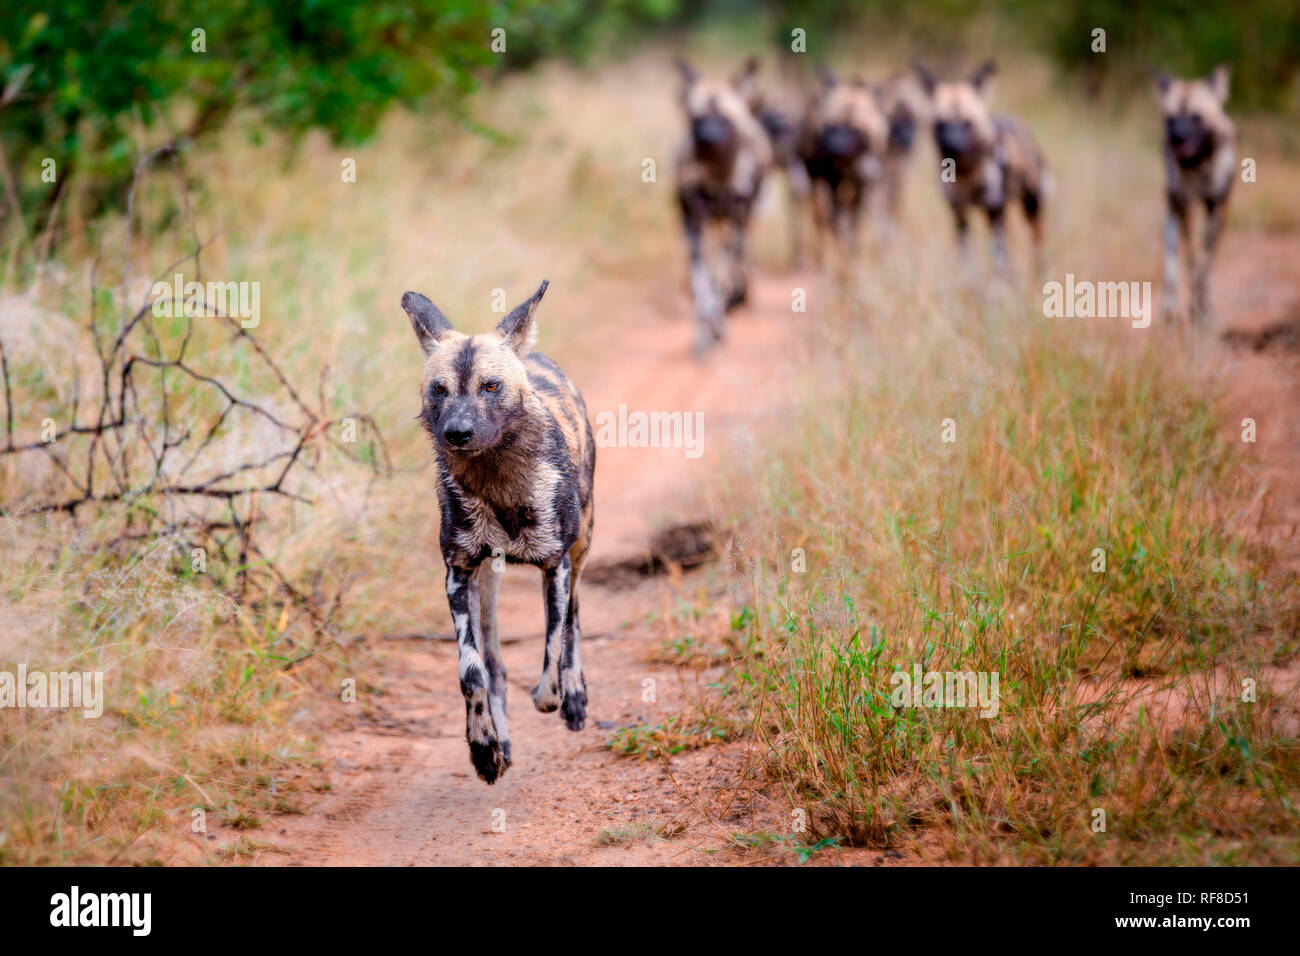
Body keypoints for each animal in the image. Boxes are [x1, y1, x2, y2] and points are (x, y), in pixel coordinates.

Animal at [670, 54, 769, 351]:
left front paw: (716, 325)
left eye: (725, 120)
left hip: (737, 222)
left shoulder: (732, 221)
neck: (715, 175)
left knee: (738, 258)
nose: (707, 140)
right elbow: (701, 282)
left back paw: (737, 297)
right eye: (697, 119)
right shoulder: (693, 226)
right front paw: (704, 331)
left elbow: (720, 278)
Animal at [790, 68, 894, 257]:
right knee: (819, 220)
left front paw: (850, 248)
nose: (834, 149)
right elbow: (832, 218)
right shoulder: (824, 178)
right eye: (831, 125)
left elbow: (852, 221)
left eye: (857, 131)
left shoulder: (859, 184)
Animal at [915, 60, 1045, 273]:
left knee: (1035, 243)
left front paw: (999, 282)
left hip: (1030, 208)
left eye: (967, 123)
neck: (966, 175)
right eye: (941, 124)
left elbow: (999, 259)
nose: (951, 146)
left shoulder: (995, 210)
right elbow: (966, 257)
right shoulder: (958, 212)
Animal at [1154, 64, 1232, 325]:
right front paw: (1195, 306)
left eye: (1196, 117)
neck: (1201, 164)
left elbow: (1206, 261)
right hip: (1173, 209)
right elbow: (1193, 259)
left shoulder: (1217, 206)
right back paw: (1169, 305)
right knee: (1172, 261)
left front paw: (1203, 307)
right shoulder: (1186, 204)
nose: (1177, 138)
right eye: (1170, 119)